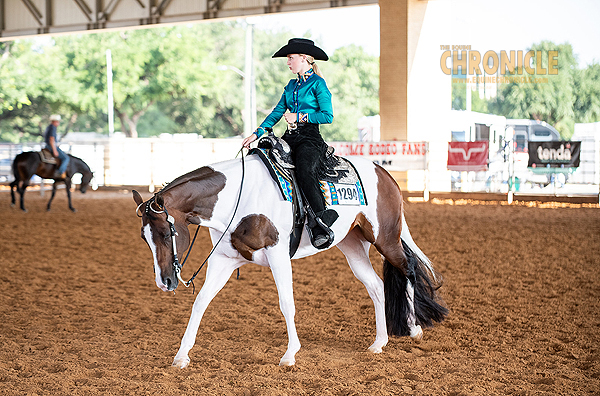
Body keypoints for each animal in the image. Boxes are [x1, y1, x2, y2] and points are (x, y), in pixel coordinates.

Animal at [135, 152, 446, 368]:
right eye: (144, 237)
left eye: (166, 232)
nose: (165, 282)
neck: (239, 196)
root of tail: (384, 173)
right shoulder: (224, 260)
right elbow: (200, 303)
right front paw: (181, 355)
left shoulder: (278, 254)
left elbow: (287, 303)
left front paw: (289, 354)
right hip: (352, 245)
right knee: (376, 286)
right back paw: (379, 342)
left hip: (386, 238)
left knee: (408, 270)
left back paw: (414, 328)